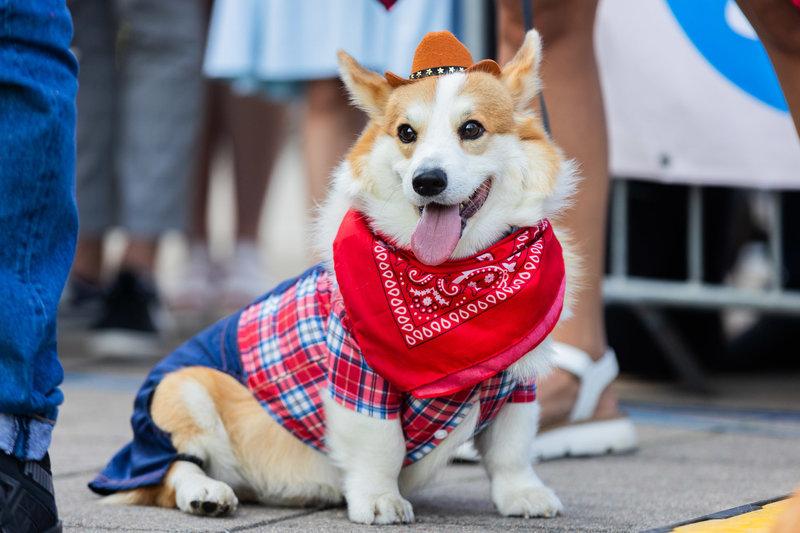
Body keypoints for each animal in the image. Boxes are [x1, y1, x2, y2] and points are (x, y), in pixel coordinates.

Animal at [92, 30, 576, 524]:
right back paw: (206, 493)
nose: (427, 181)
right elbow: (380, 443)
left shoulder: (518, 376)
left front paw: (524, 494)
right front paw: (380, 500)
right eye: (406, 133)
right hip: (180, 390)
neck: (453, 275)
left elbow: (511, 446)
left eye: (472, 129)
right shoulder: (356, 373)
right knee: (169, 472)